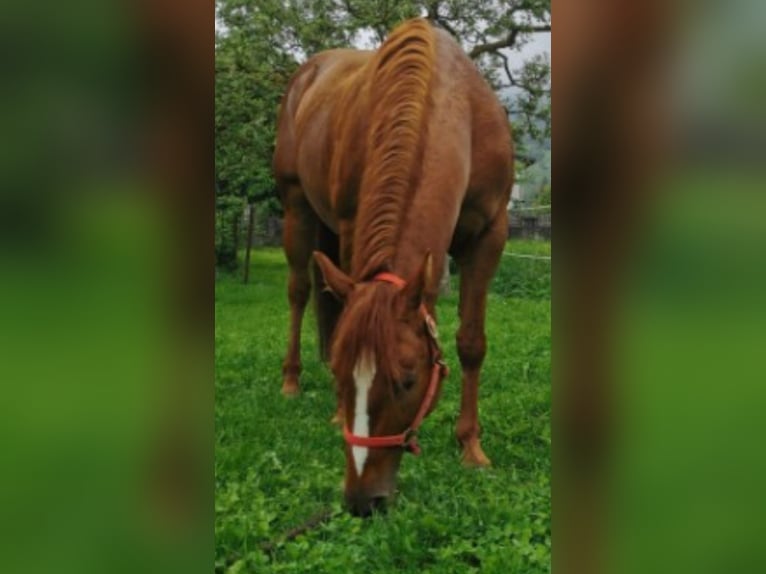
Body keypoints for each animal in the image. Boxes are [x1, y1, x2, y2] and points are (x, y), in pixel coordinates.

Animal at [272, 19, 512, 520]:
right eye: (344, 376)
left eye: (408, 380)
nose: (363, 500)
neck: (452, 105)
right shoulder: (350, 221)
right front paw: (334, 407)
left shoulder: (490, 236)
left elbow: (471, 343)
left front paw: (471, 448)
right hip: (297, 207)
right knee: (300, 291)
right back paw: (292, 379)